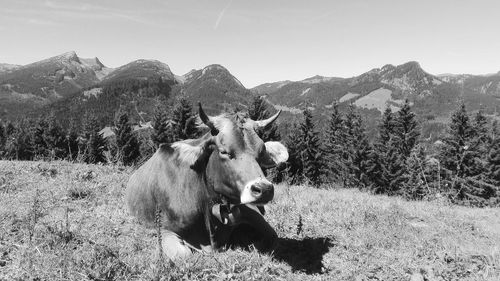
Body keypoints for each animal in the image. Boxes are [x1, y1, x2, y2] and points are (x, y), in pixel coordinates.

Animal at [125, 104, 290, 260]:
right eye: (224, 151)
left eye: (261, 152)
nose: (264, 190)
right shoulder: (165, 229)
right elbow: (183, 255)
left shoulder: (249, 211)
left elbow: (272, 236)